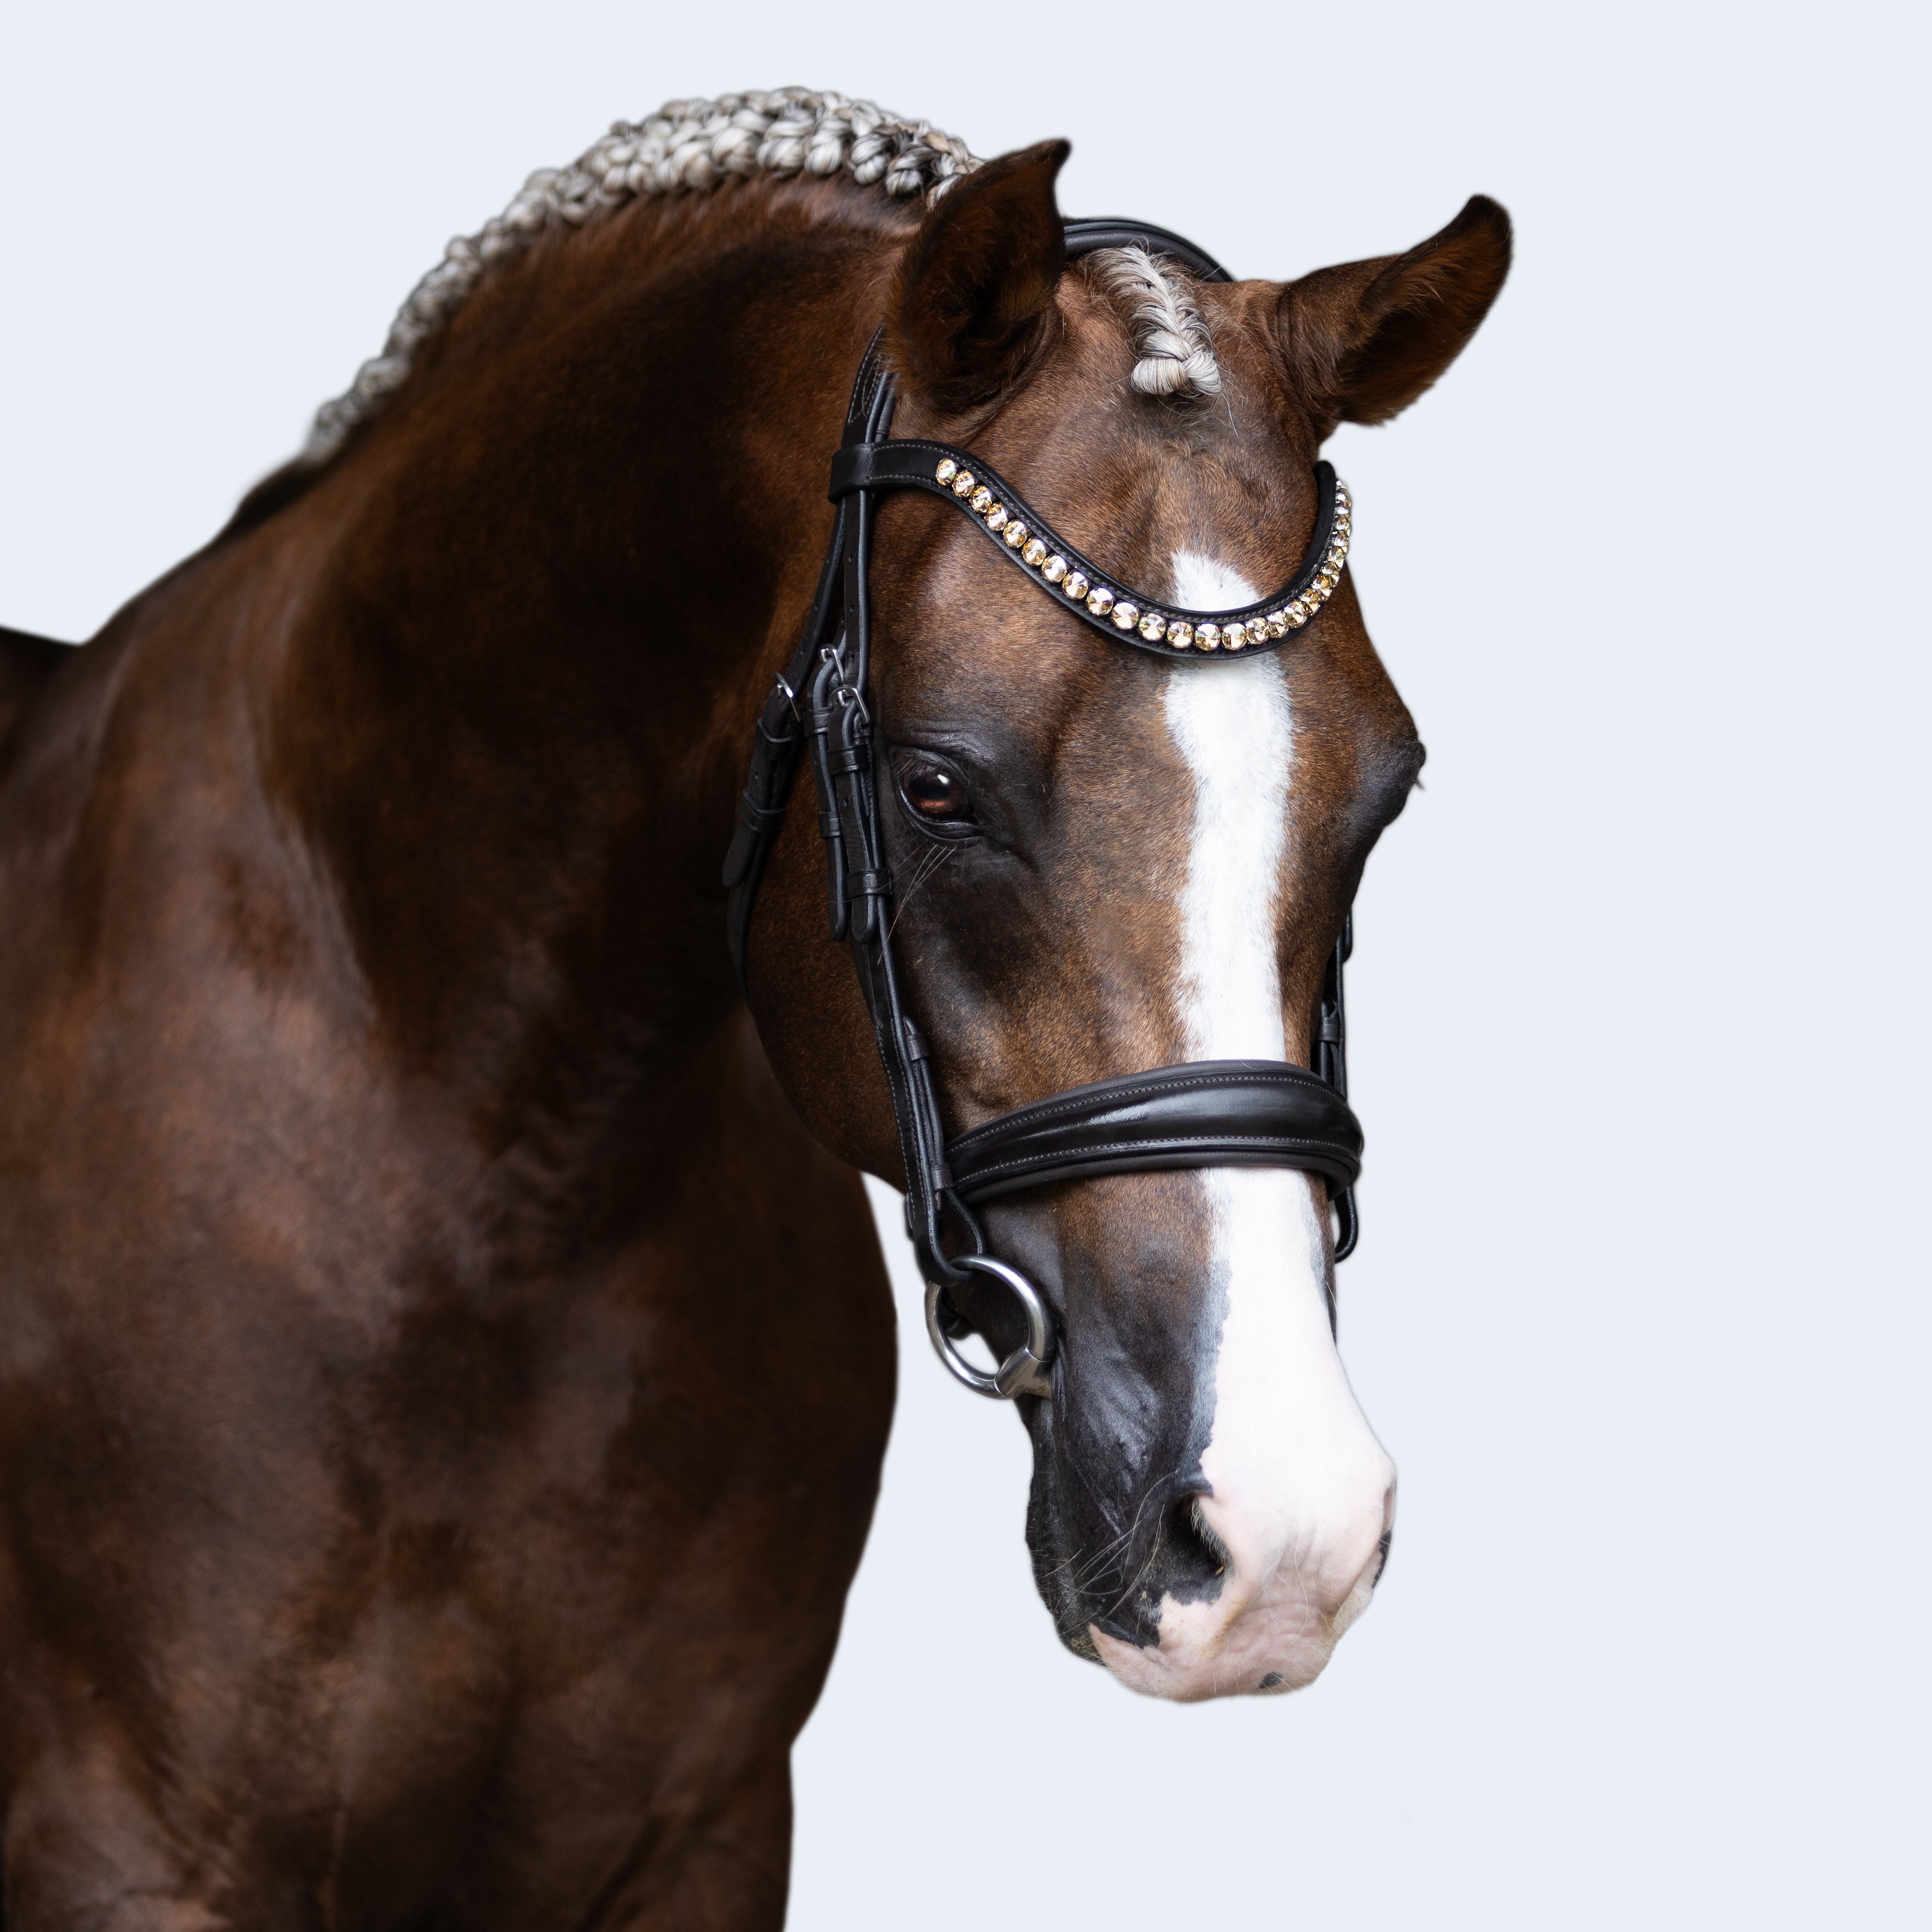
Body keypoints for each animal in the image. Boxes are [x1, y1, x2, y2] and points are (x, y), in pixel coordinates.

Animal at [0, 90, 1508, 1930]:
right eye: (934, 787)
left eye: (1383, 797)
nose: (1285, 1531)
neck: (488, 1188)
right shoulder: (126, 1855)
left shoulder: (705, 1835)